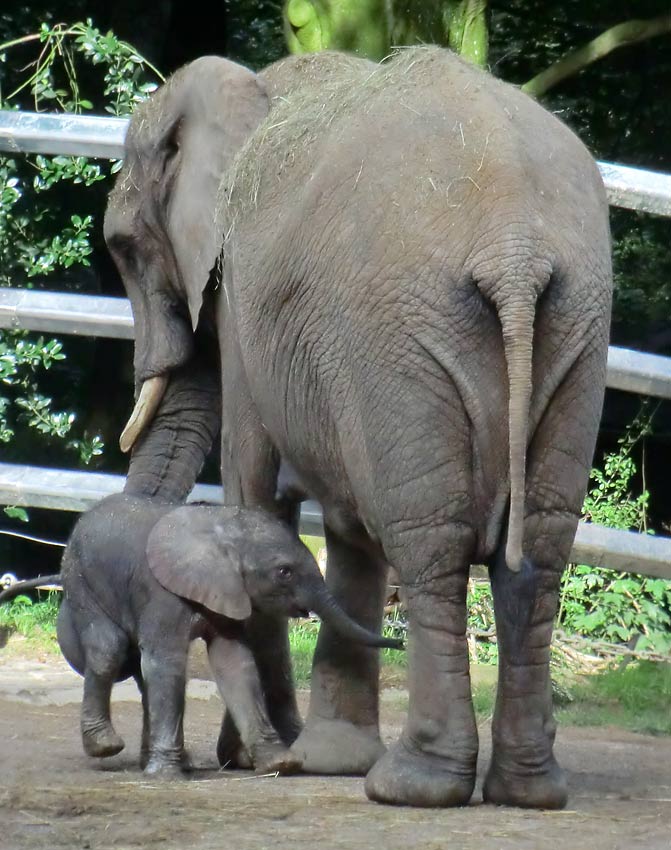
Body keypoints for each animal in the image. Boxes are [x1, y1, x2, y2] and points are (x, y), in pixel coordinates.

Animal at [1, 494, 400, 780]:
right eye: (284, 572)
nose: (400, 642)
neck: (223, 527)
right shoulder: (162, 592)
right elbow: (168, 662)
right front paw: (166, 777)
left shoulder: (228, 591)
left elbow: (234, 662)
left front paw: (281, 764)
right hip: (83, 580)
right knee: (109, 650)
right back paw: (109, 747)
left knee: (140, 672)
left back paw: (168, 761)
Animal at [105, 48, 616, 808]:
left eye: (122, 248)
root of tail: (513, 246)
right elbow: (344, 529)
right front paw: (317, 758)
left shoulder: (243, 295)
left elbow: (254, 490)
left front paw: (264, 757)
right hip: (575, 324)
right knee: (539, 552)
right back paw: (526, 791)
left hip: (401, 336)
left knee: (428, 542)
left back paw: (411, 785)